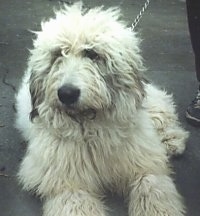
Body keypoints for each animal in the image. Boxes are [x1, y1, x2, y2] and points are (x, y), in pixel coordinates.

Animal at [15, 2, 189, 216]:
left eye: (92, 53)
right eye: (57, 54)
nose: (67, 93)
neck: (93, 128)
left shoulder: (143, 162)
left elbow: (152, 185)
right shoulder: (68, 181)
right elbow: (76, 201)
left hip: (153, 107)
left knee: (163, 114)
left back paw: (172, 140)